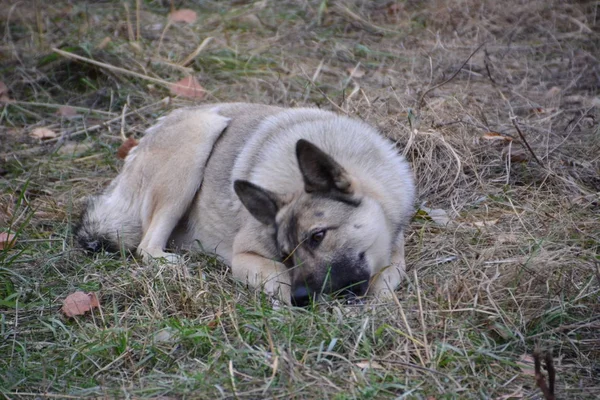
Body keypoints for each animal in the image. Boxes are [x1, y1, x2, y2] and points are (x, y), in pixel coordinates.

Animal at [77, 103, 414, 306]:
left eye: (318, 237)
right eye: (285, 253)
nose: (302, 298)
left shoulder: (395, 258)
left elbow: (386, 284)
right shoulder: (246, 256)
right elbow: (278, 278)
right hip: (199, 138)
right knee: (146, 248)